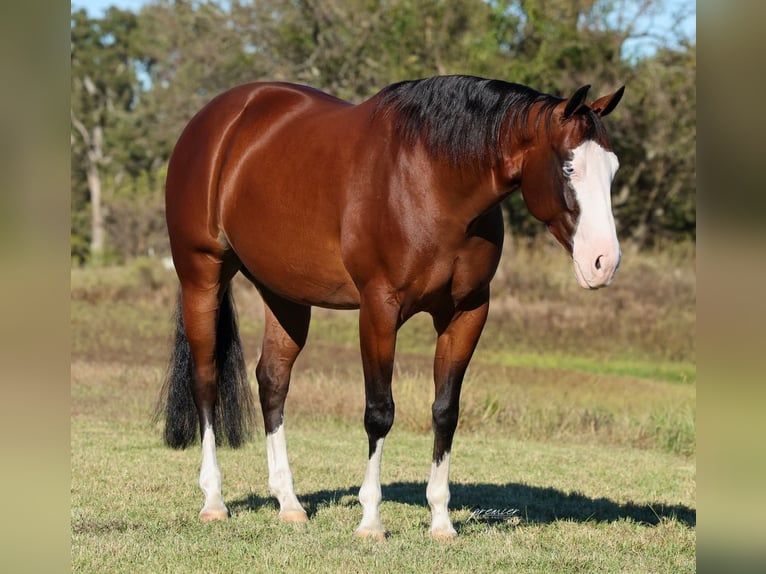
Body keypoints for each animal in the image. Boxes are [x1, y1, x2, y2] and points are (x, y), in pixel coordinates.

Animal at [156, 75, 624, 539]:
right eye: (568, 167)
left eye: (613, 169)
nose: (603, 262)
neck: (434, 181)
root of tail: (220, 118)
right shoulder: (379, 309)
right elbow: (379, 412)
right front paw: (371, 521)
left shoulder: (467, 312)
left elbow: (445, 411)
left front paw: (441, 521)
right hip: (202, 275)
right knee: (206, 381)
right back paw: (214, 500)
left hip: (284, 294)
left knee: (272, 381)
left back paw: (289, 504)